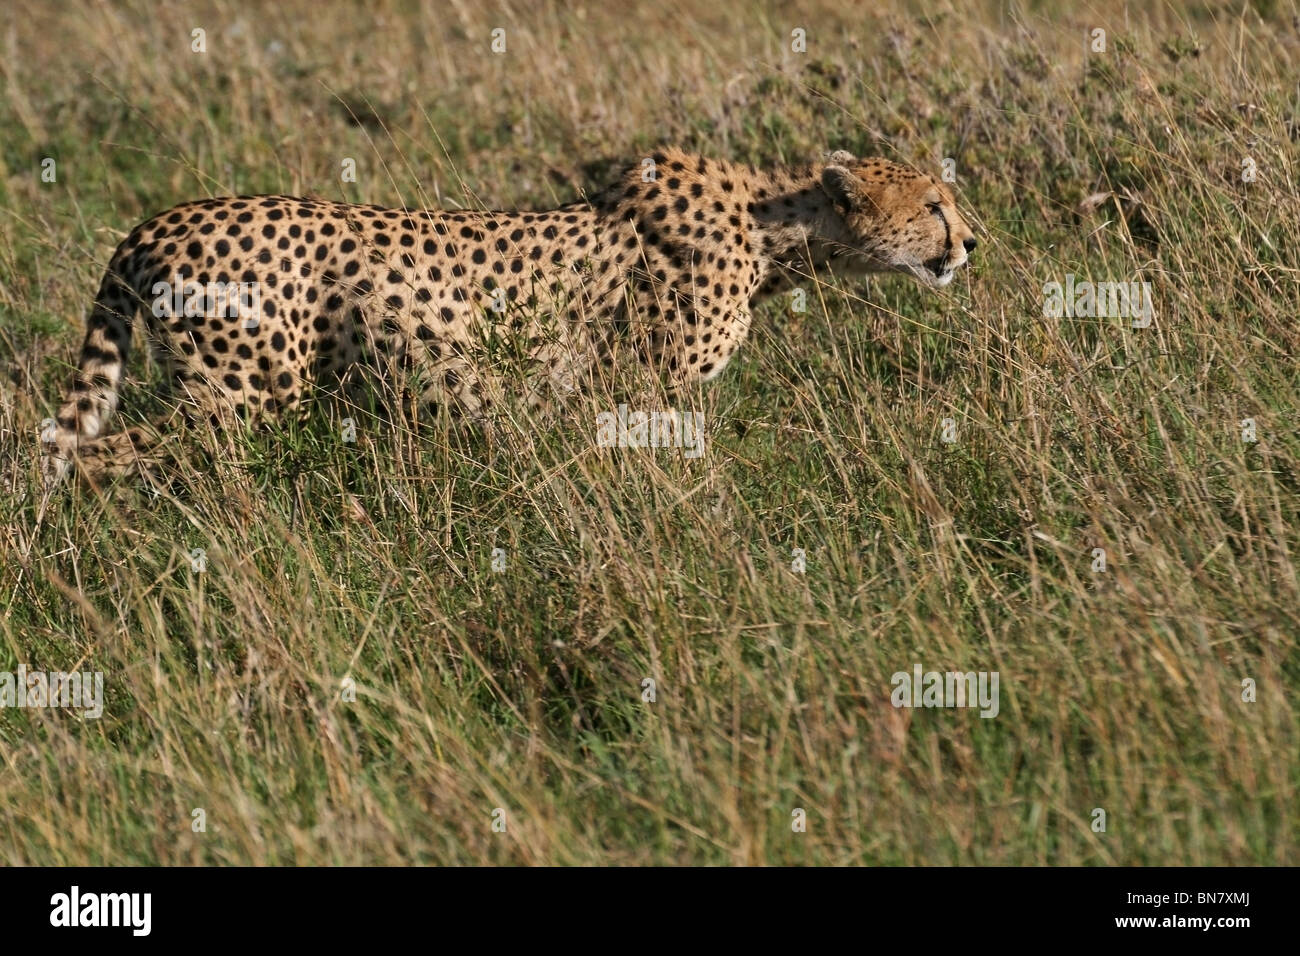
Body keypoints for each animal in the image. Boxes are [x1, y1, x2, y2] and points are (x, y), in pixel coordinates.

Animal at [40, 152, 977, 489]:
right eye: (934, 205)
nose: (972, 242)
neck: (774, 224)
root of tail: (157, 220)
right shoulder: (641, 384)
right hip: (237, 400)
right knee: (87, 450)